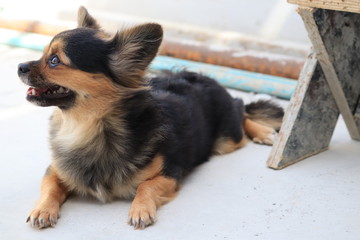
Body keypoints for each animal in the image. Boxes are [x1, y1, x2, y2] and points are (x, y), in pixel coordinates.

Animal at [17, 6, 284, 230]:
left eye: (54, 61)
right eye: (43, 55)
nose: (19, 66)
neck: (87, 127)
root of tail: (208, 79)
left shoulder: (171, 173)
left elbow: (146, 185)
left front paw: (140, 209)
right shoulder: (56, 169)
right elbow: (49, 186)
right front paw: (42, 209)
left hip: (226, 140)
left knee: (240, 109)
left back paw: (263, 133)